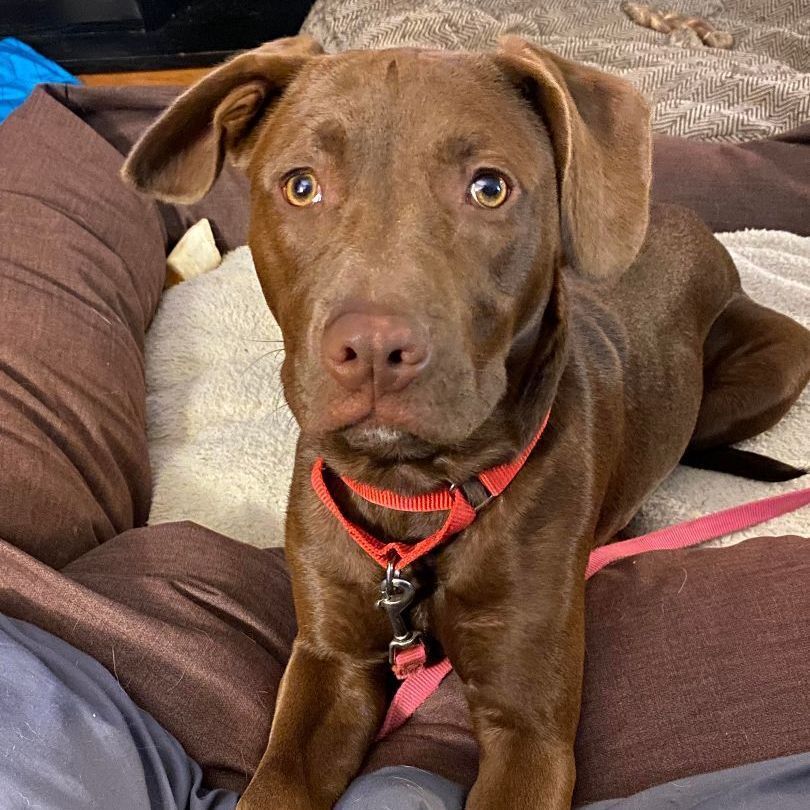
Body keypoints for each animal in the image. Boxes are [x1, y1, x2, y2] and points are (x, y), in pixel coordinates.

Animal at [120, 33, 808, 808]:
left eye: (489, 188)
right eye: (301, 185)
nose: (374, 352)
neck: (418, 494)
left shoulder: (528, 725)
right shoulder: (328, 666)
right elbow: (278, 781)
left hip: (775, 366)